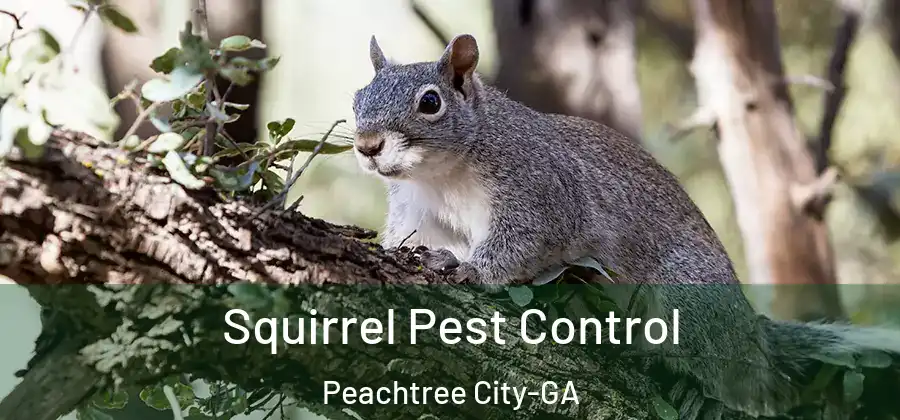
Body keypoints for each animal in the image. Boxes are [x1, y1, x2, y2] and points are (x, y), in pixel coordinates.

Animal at [351, 34, 900, 418]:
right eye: (358, 97)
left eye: (430, 102)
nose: (367, 145)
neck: (442, 174)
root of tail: (750, 333)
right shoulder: (419, 211)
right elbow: (411, 238)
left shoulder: (543, 192)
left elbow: (522, 243)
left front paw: (470, 269)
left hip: (689, 298)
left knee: (733, 378)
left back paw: (699, 390)